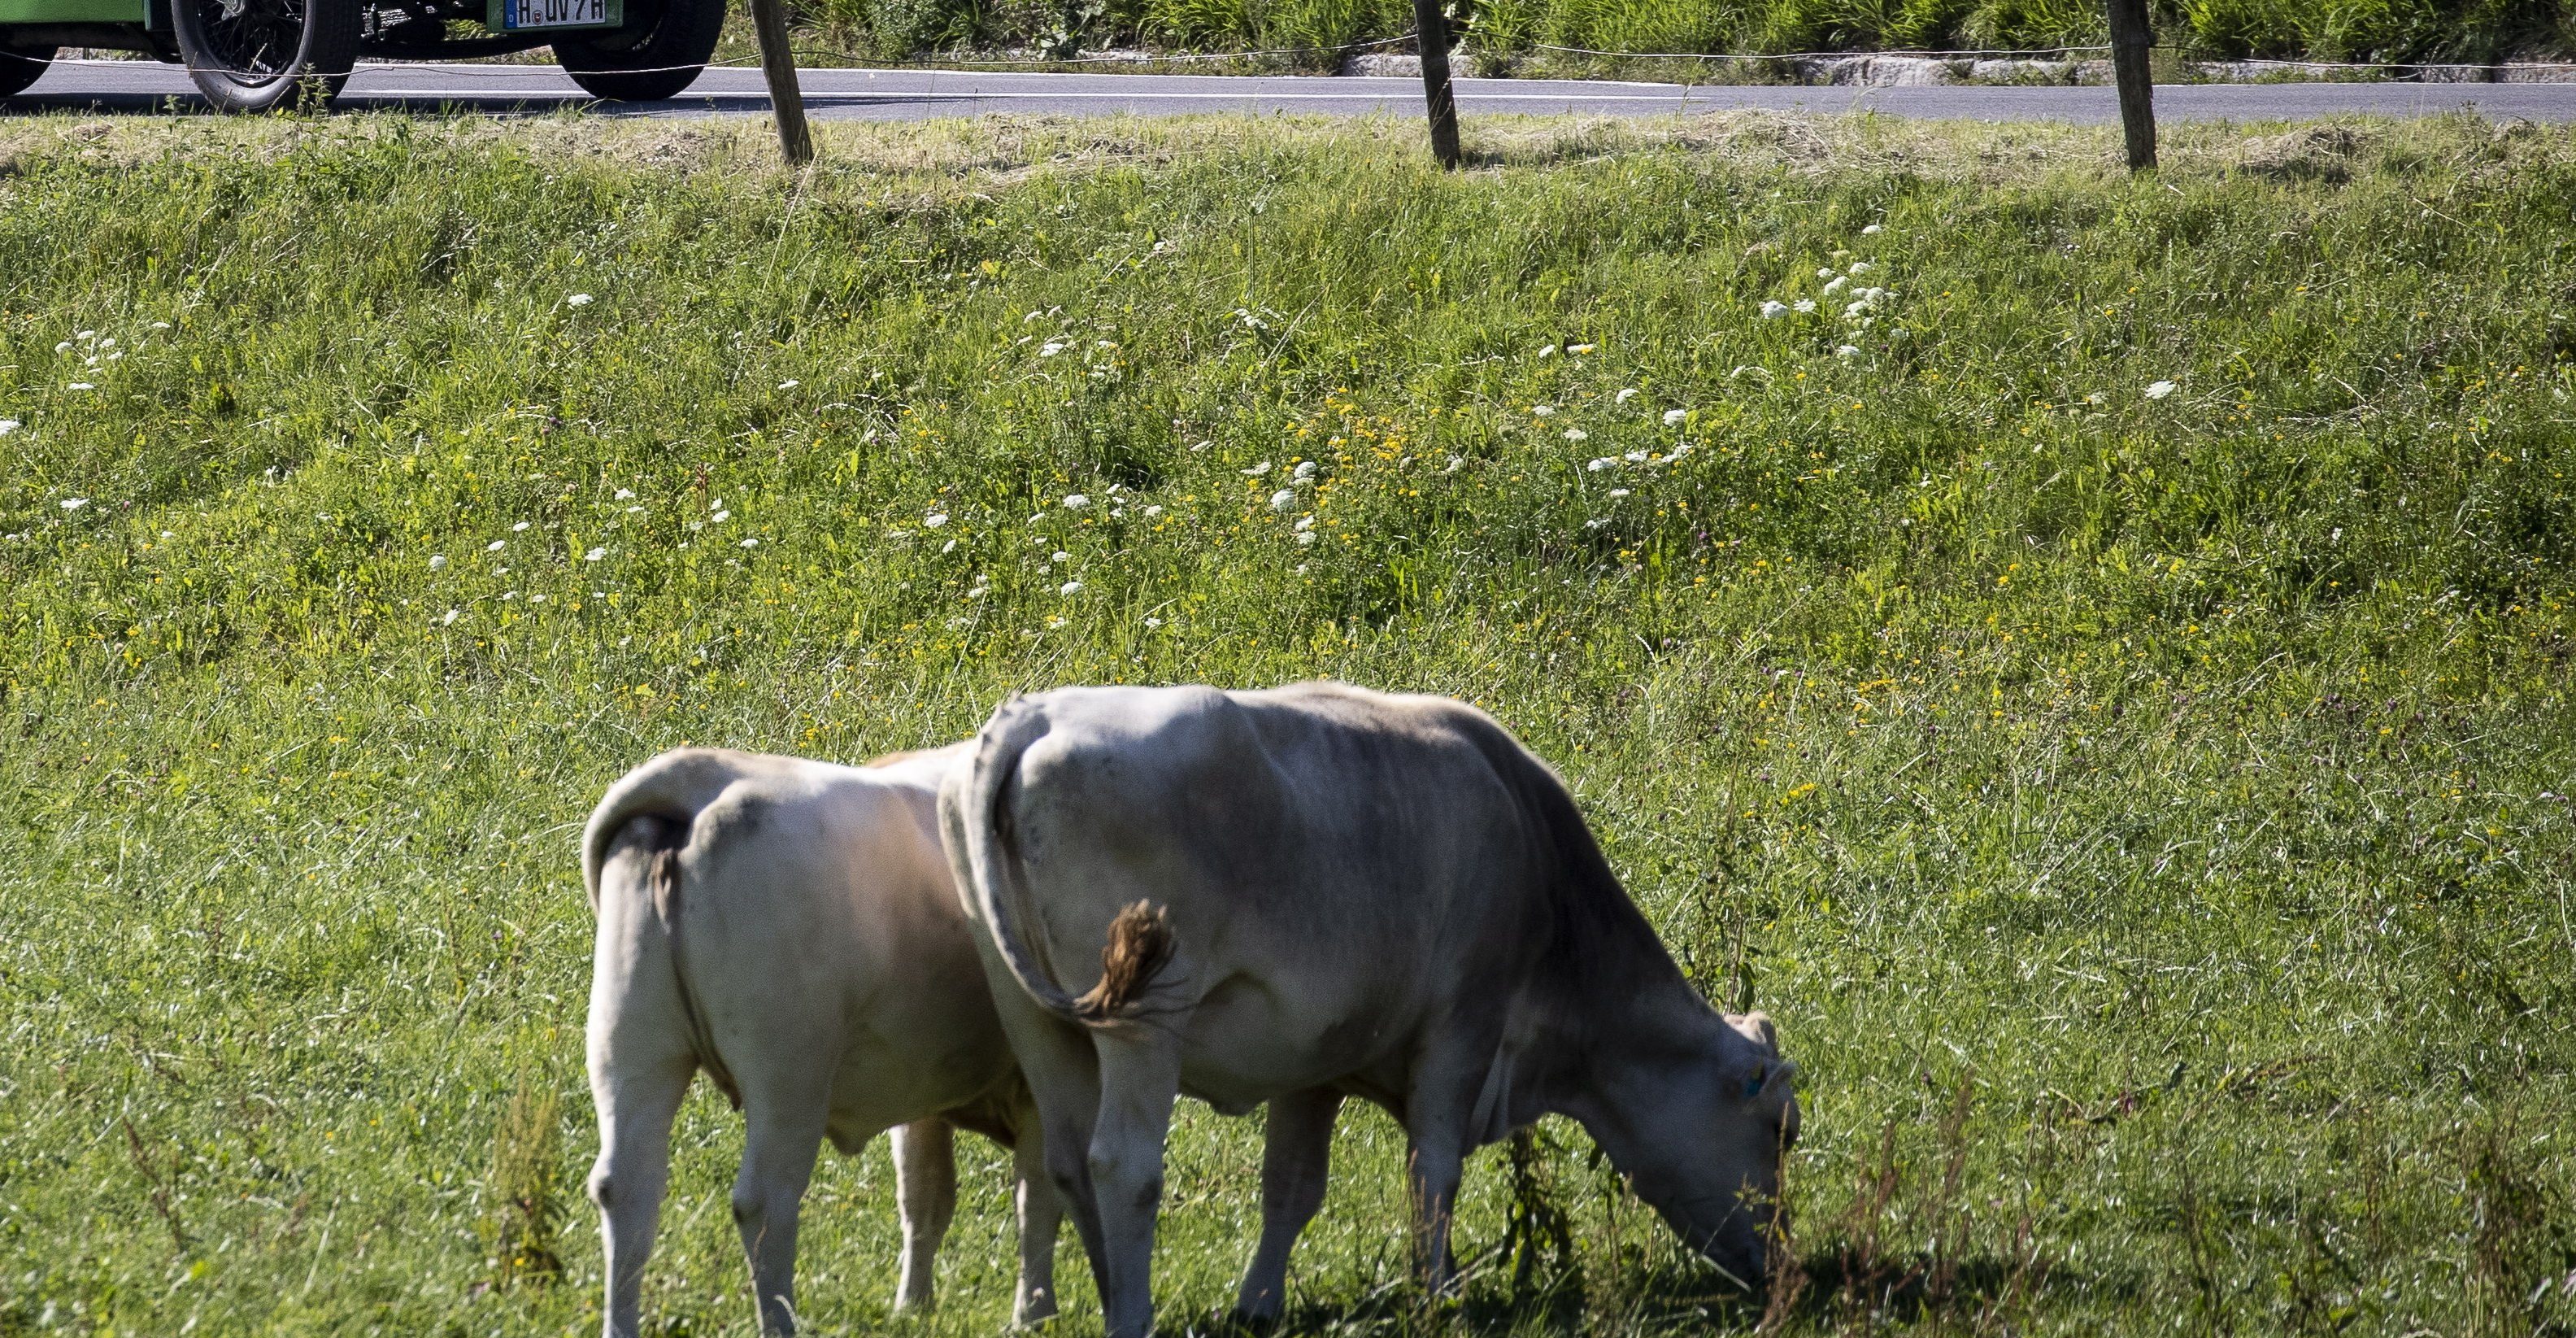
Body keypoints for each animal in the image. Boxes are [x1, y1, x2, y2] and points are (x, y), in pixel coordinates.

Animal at [587, 742, 1066, 1338]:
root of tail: (711, 775)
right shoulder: (1042, 1085)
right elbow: (1038, 1199)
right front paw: (1036, 1314)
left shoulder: (924, 1088)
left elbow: (925, 1197)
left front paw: (913, 1307)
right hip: (789, 1074)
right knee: (764, 1202)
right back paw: (781, 1321)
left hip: (632, 1045)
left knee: (626, 1188)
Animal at [947, 686, 1813, 1338]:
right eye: (1782, 1130)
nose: (1784, 1269)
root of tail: (1040, 712)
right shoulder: (1464, 1024)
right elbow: (1434, 1169)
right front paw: (1441, 1295)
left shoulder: (1315, 1059)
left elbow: (1292, 1185)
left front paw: (1260, 1304)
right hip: (1143, 1025)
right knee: (1123, 1167)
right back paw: (1132, 1315)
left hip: (1041, 1025)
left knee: (1061, 1163)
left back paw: (1067, 1303)